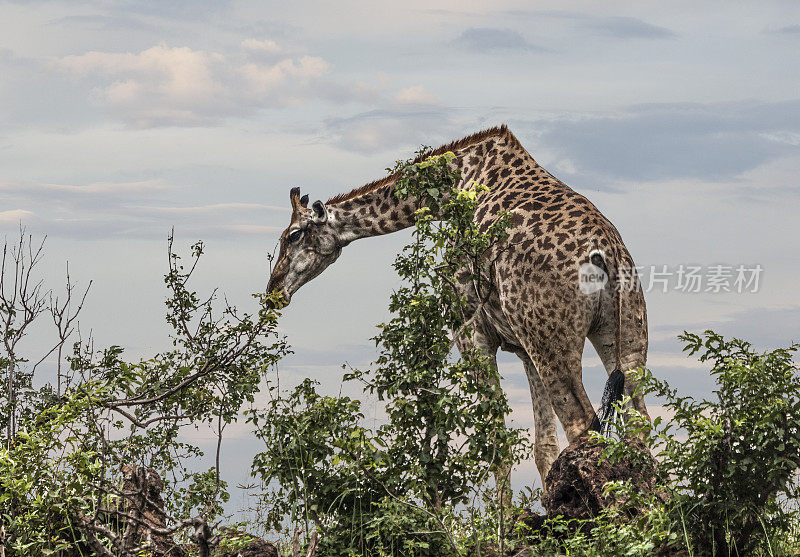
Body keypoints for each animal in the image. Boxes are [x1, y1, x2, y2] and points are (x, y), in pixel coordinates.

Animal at [268, 124, 648, 484]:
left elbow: (498, 447)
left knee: (584, 424)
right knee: (638, 425)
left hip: (552, 340)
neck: (458, 181)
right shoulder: (523, 347)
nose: (273, 291)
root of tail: (605, 253)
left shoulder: (472, 331)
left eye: (293, 235)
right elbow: (544, 449)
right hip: (622, 334)